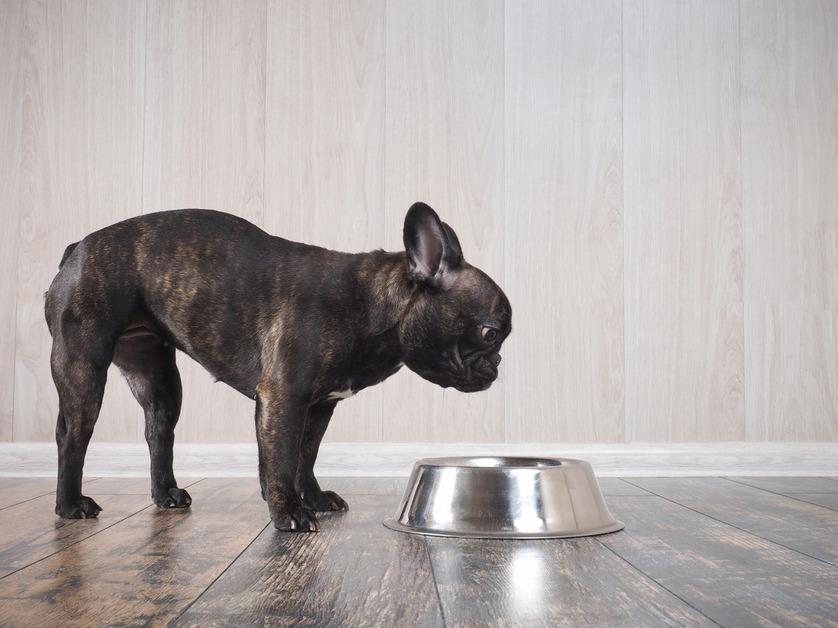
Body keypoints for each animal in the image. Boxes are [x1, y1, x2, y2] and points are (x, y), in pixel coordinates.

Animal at [49, 204, 516, 532]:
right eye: (490, 333)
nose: (497, 365)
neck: (369, 306)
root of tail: (76, 249)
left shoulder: (319, 406)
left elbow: (305, 455)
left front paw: (312, 498)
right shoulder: (284, 397)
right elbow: (281, 457)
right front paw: (288, 511)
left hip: (160, 378)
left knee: (158, 430)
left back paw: (165, 494)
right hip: (84, 367)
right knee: (72, 436)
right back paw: (71, 505)